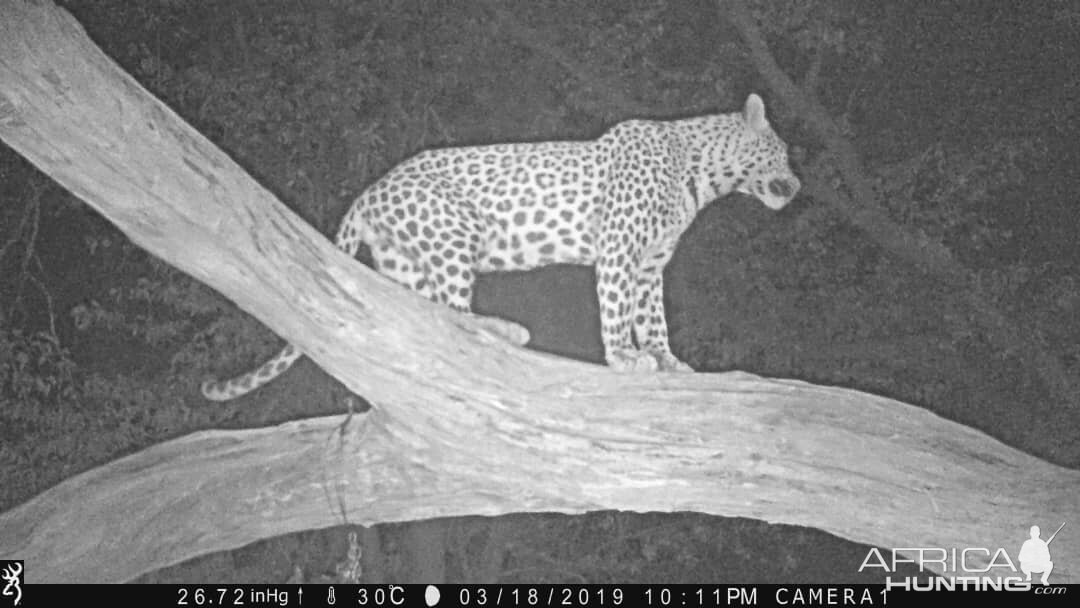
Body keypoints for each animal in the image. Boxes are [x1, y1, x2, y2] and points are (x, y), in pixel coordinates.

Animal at [200, 92, 794, 401]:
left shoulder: (651, 264)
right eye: (784, 152)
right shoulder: (620, 250)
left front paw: (668, 361)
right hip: (454, 231)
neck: (701, 176)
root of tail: (371, 189)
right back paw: (507, 330)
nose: (797, 183)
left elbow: (653, 317)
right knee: (455, 314)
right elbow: (617, 310)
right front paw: (624, 358)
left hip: (405, 262)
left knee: (422, 317)